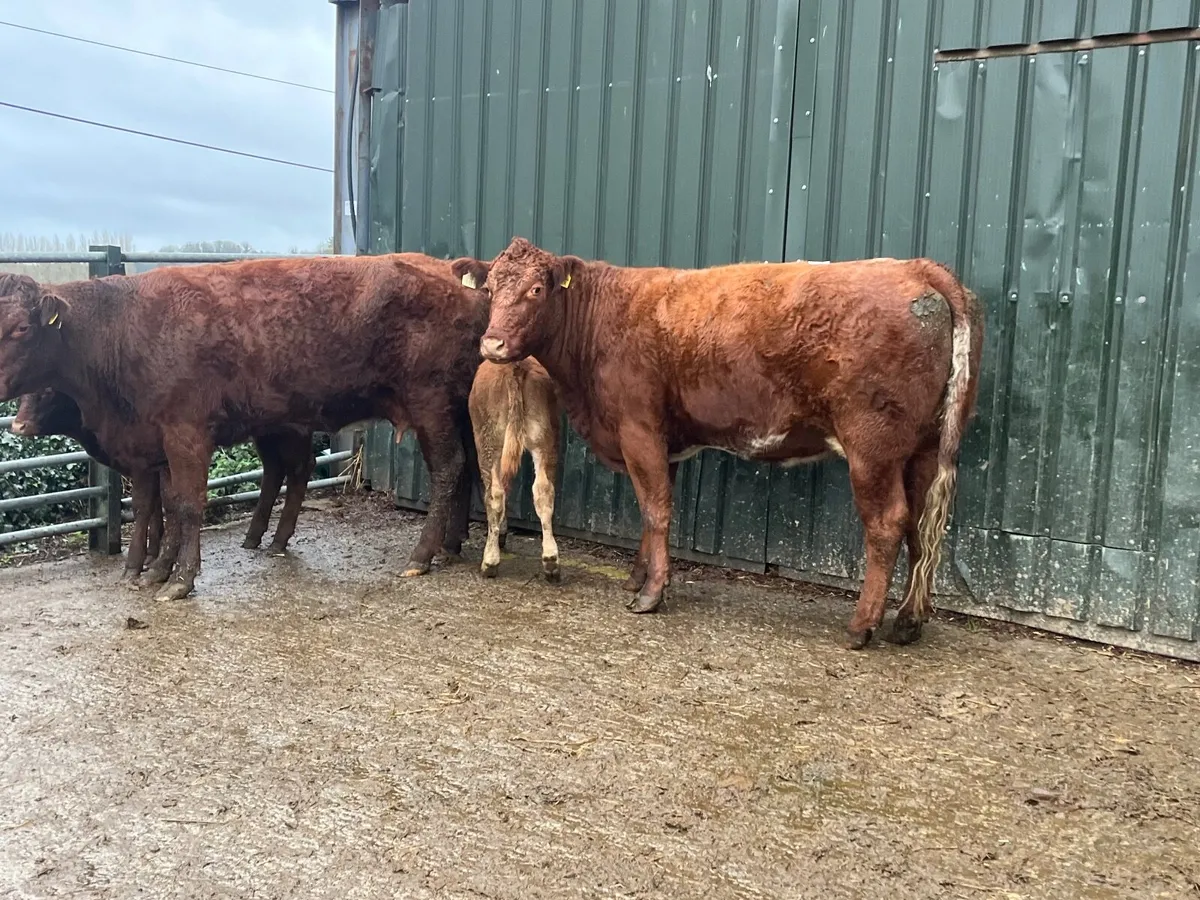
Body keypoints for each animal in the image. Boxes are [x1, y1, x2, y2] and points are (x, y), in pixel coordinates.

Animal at [0, 255, 488, 602]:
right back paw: (450, 545)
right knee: (468, 466)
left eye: (21, 328)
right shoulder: (154, 443)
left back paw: (421, 555)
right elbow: (159, 505)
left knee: (448, 469)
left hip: (429, 402)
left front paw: (179, 579)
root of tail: (451, 272)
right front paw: (155, 571)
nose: (18, 421)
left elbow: (187, 504)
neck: (125, 328)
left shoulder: (186, 433)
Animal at [467, 358, 561, 581]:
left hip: (488, 439)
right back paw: (551, 561)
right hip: (545, 437)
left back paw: (489, 562)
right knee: (543, 490)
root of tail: (516, 368)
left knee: (494, 494)